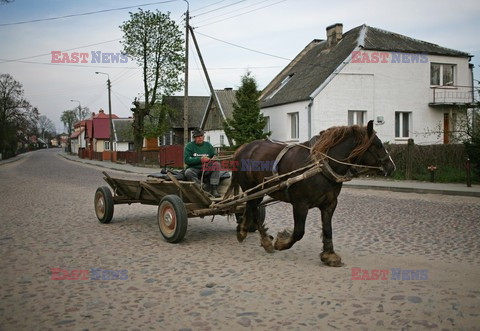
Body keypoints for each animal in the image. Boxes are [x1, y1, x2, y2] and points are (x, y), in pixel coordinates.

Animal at [224, 121, 394, 268]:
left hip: (255, 191)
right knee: (253, 209)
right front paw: (281, 242)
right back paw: (265, 241)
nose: (392, 166)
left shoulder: (329, 204)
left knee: (249, 206)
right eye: (378, 145)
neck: (319, 165)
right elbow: (299, 232)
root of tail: (242, 148)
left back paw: (242, 230)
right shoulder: (300, 205)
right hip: (253, 189)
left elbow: (328, 228)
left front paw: (329, 255)